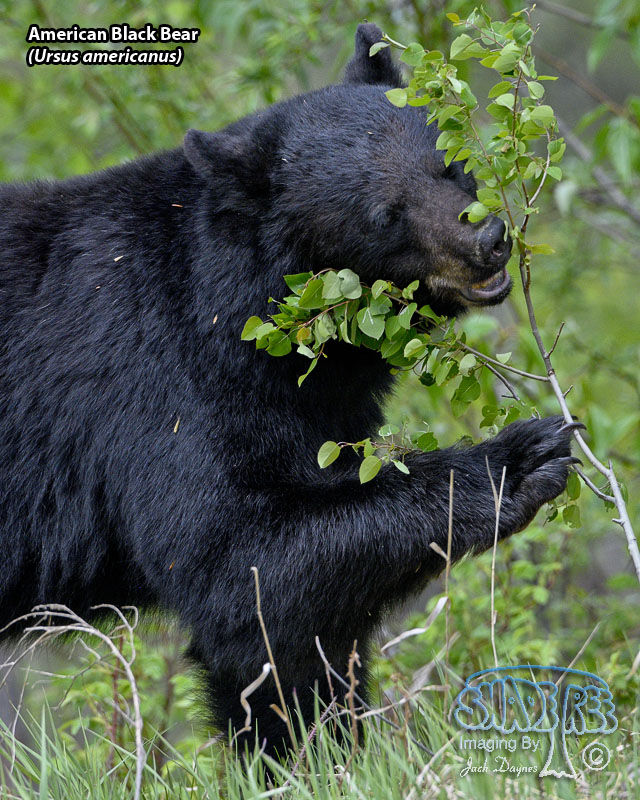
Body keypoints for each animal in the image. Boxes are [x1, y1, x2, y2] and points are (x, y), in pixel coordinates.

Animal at [0, 23, 578, 760]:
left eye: (450, 165)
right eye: (385, 214)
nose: (488, 239)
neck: (235, 314)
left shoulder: (312, 405)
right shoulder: (155, 383)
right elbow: (243, 568)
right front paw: (517, 459)